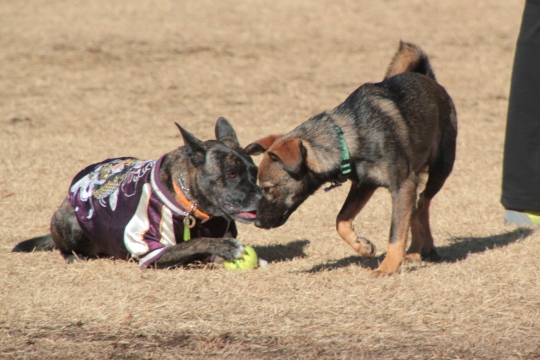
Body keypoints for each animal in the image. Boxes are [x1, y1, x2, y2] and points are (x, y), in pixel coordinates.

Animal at [247, 41, 458, 276]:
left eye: (268, 188)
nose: (257, 223)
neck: (347, 138)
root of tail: (428, 77)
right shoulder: (363, 185)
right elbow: (341, 220)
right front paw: (362, 246)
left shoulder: (402, 184)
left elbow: (395, 233)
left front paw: (388, 268)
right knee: (415, 208)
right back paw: (414, 251)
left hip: (441, 168)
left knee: (422, 203)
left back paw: (423, 248)